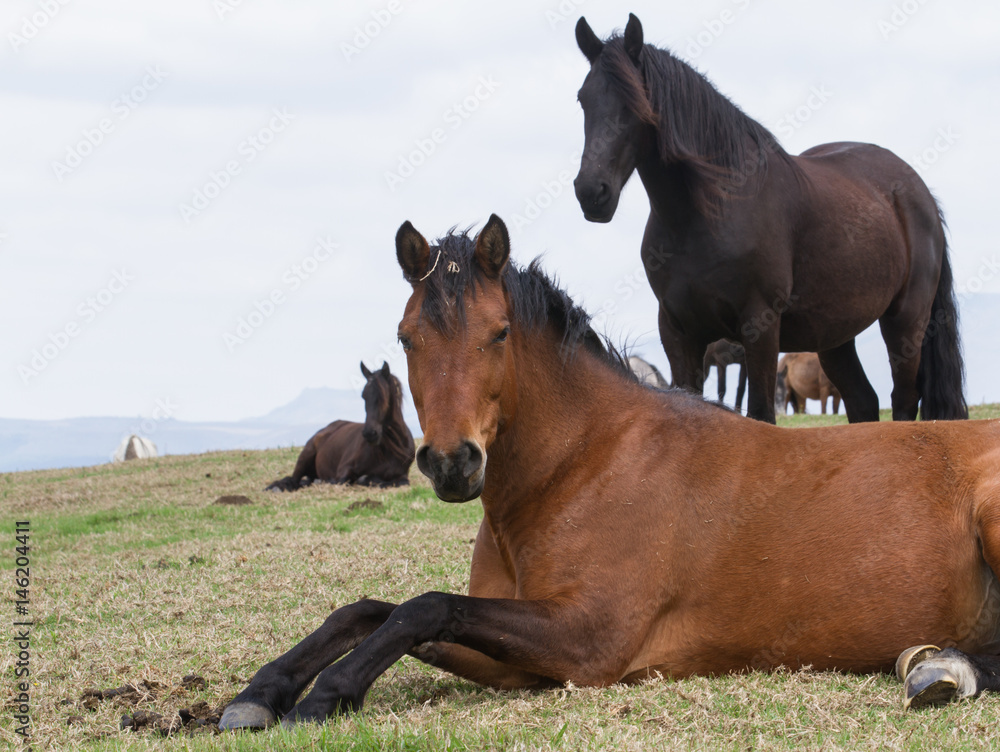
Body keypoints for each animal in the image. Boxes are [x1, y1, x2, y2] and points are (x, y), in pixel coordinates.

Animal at [265, 362, 414, 491]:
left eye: (383, 396)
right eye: (364, 396)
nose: (369, 434)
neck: (390, 448)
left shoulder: (401, 476)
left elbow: (402, 482)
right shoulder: (344, 469)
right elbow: (343, 480)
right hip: (306, 455)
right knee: (293, 480)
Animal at [573, 14, 967, 424]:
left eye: (635, 101)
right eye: (583, 99)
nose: (591, 192)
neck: (706, 214)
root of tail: (919, 193)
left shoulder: (758, 328)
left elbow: (760, 413)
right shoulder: (678, 332)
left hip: (906, 320)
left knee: (903, 401)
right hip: (835, 335)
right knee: (863, 401)